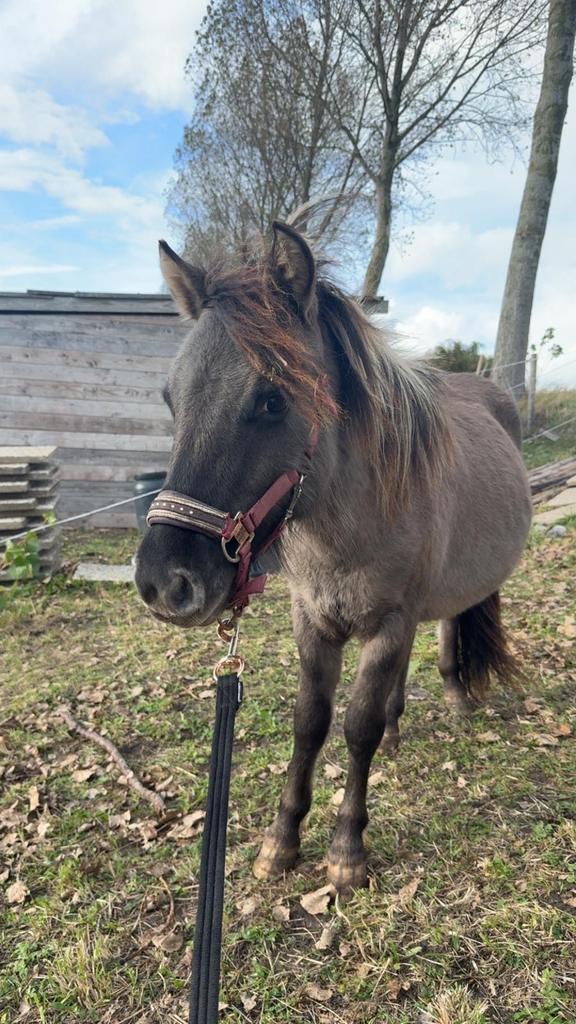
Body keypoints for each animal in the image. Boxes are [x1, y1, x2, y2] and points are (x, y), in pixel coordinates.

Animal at [135, 221, 531, 891]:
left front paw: (346, 850)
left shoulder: (390, 622)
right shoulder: (314, 621)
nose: (164, 583)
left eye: (272, 399)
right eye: (169, 398)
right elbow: (311, 722)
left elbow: (356, 727)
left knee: (452, 629)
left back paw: (454, 700)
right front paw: (281, 841)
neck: (347, 529)